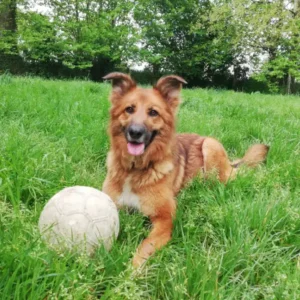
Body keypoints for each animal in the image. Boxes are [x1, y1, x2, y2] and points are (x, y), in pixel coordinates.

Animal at [102, 72, 268, 268]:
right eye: (129, 109)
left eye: (153, 112)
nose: (135, 133)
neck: (135, 169)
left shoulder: (165, 220)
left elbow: (145, 245)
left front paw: (132, 270)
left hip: (210, 147)